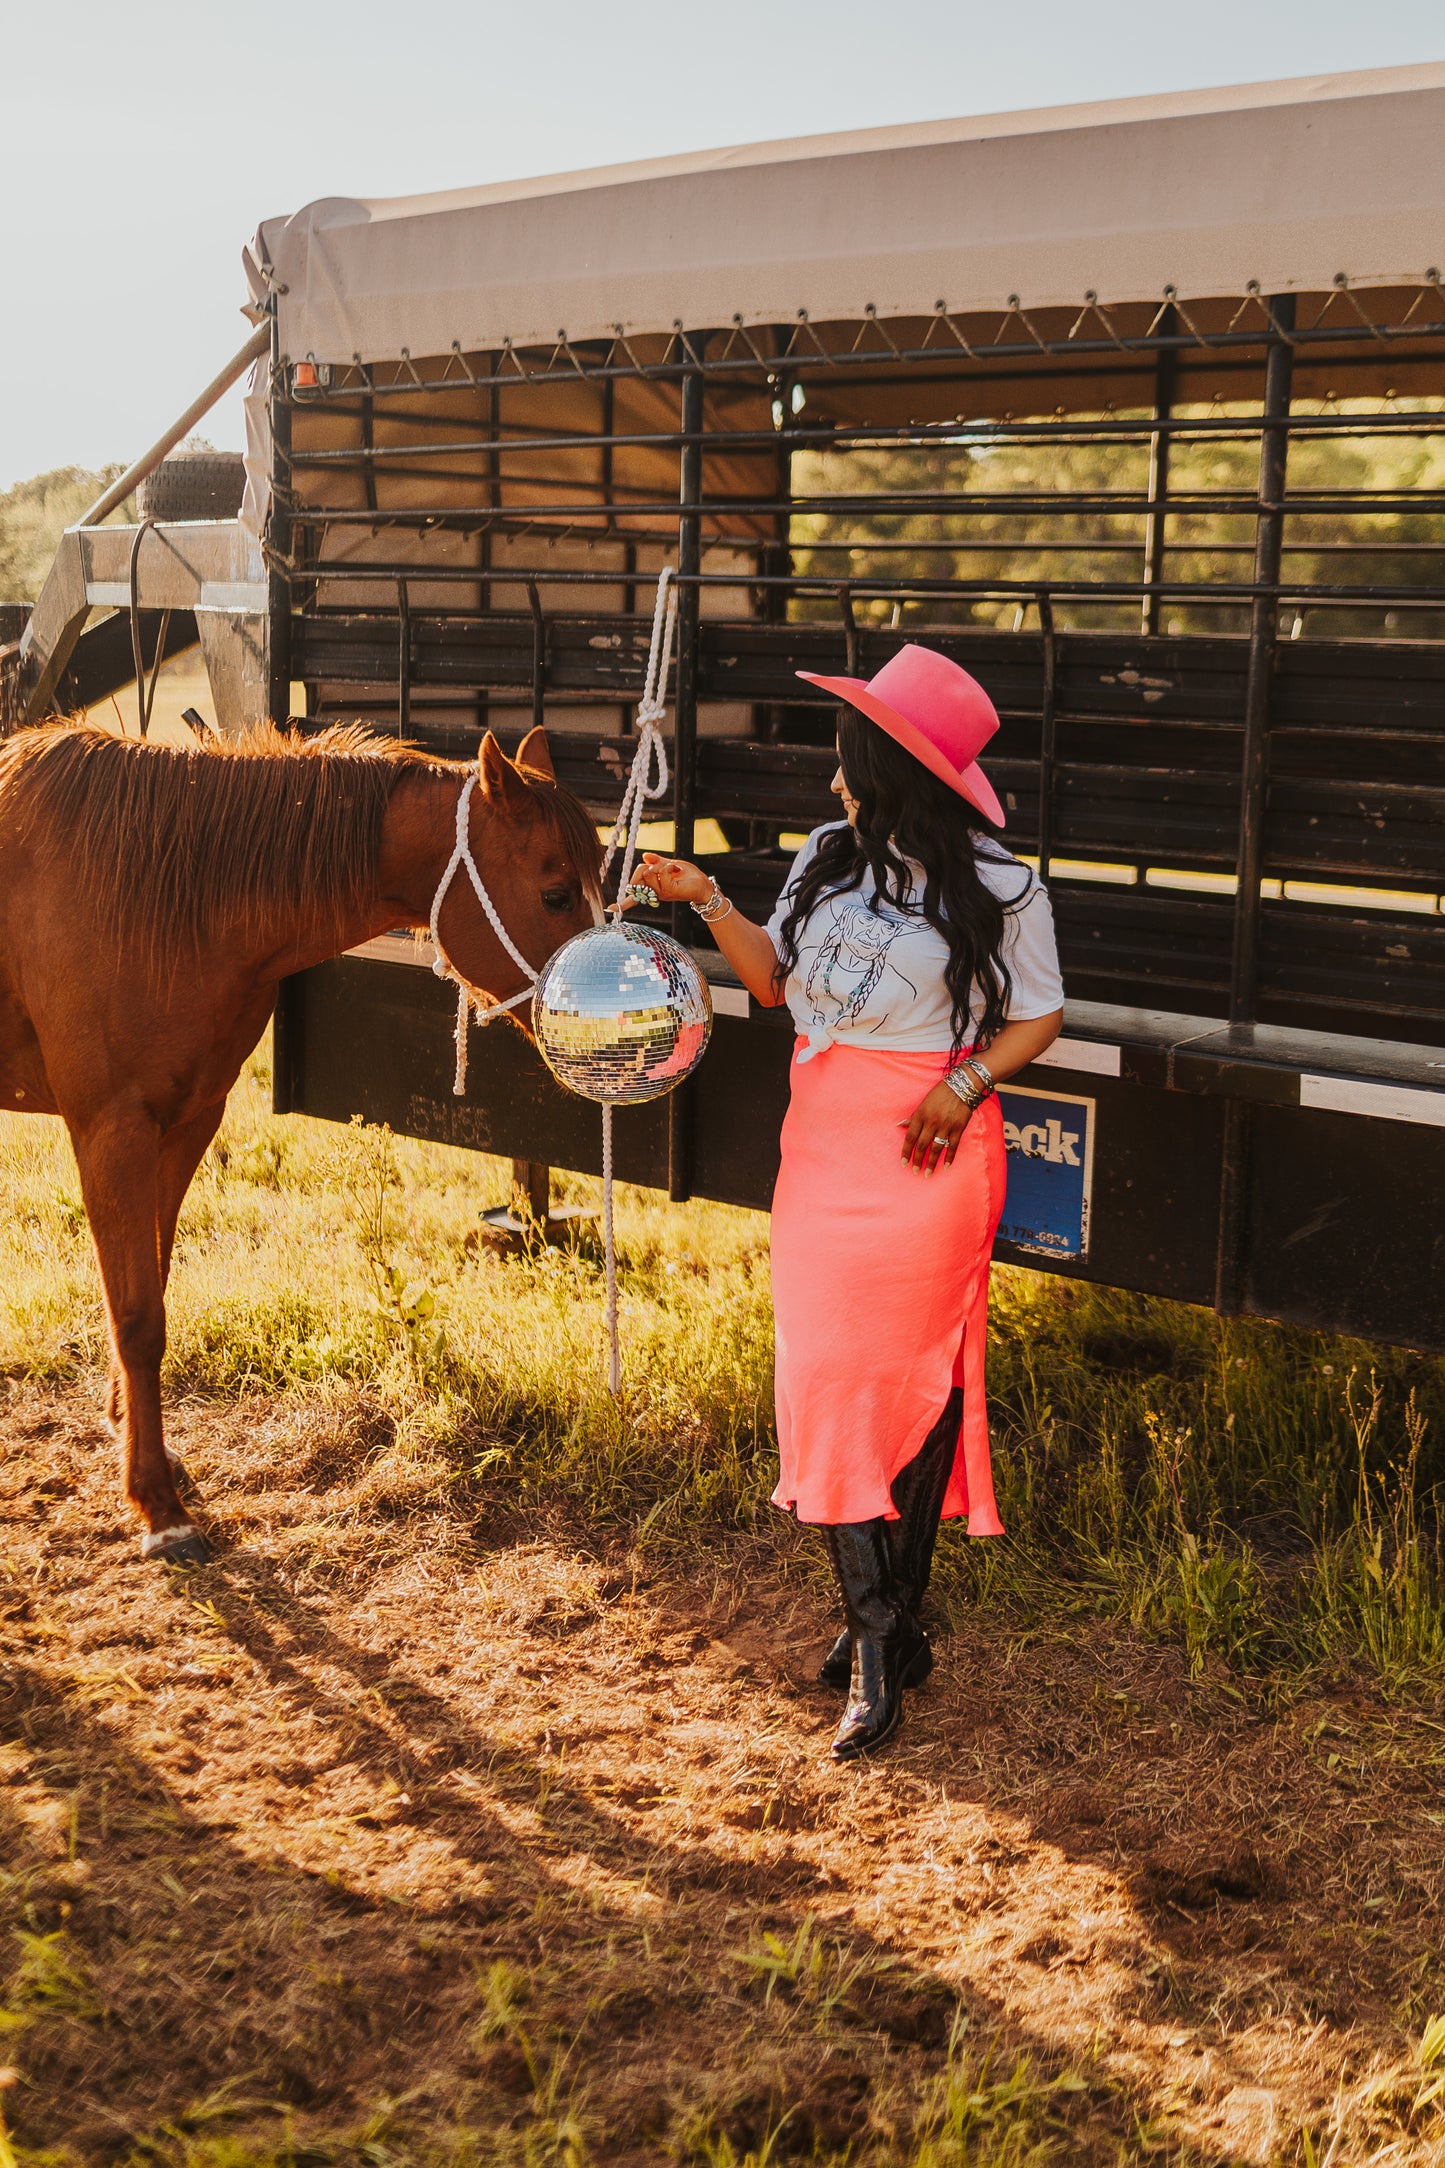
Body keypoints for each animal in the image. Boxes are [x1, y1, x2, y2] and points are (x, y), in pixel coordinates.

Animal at [0, 724, 597, 1560]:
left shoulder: (186, 1122)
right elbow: (137, 1317)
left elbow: (152, 1286)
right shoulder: (111, 1130)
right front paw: (156, 1506)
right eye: (555, 893)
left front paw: (143, 1445)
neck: (153, 893)